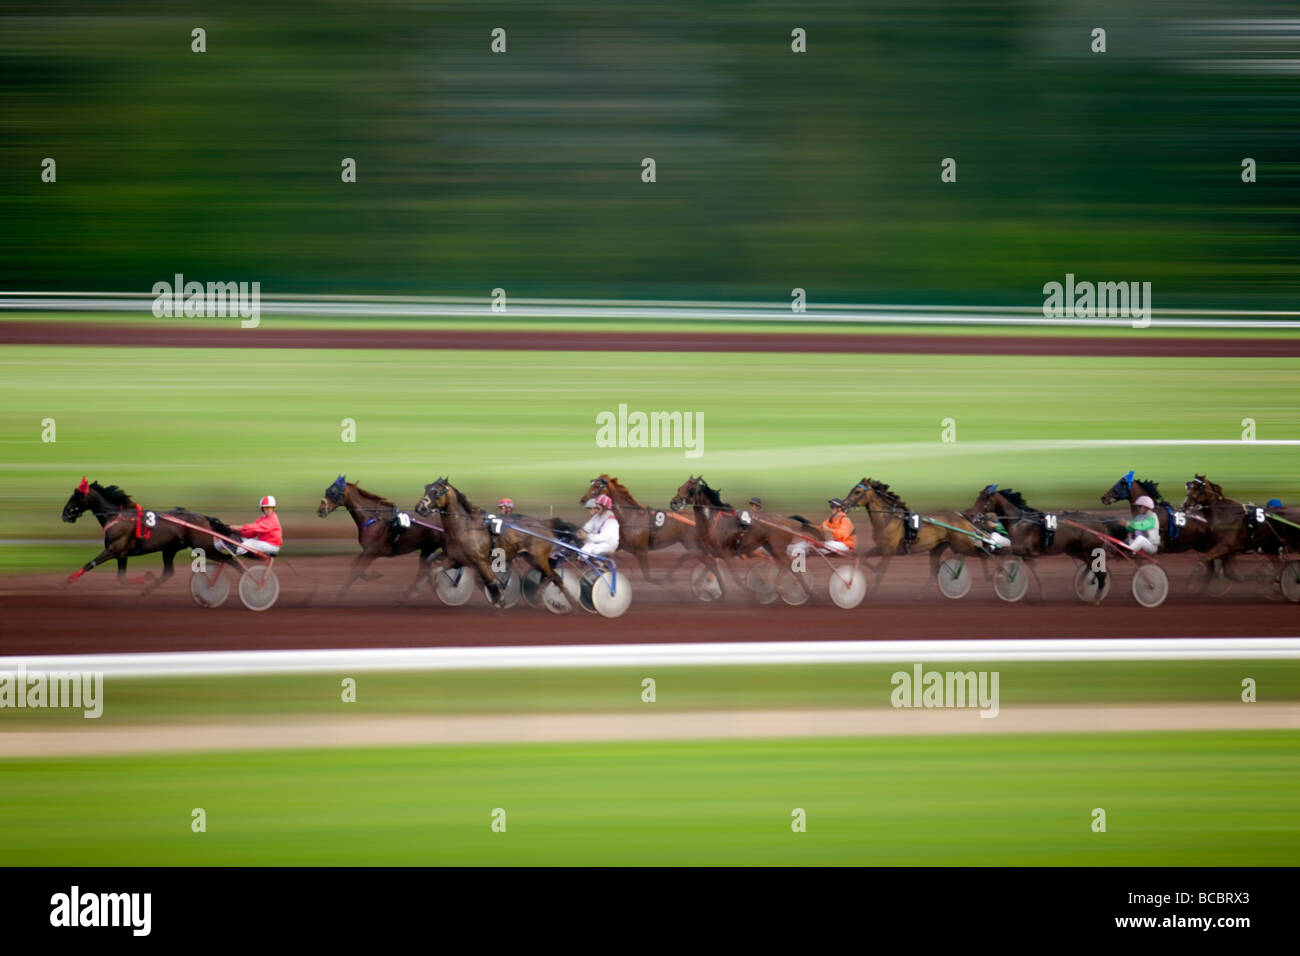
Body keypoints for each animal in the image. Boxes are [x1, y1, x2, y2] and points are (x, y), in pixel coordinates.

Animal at [61, 476, 240, 590]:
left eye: (76, 497)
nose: (65, 514)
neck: (117, 517)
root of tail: (204, 518)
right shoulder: (122, 554)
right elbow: (122, 578)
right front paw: (147, 577)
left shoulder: (113, 550)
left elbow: (90, 564)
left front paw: (66, 581)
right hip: (169, 549)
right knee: (168, 572)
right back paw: (146, 591)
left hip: (205, 547)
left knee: (230, 560)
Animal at [315, 476, 447, 600]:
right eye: (327, 490)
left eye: (333, 493)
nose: (320, 510)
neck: (374, 519)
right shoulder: (367, 550)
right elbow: (353, 565)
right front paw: (372, 575)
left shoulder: (372, 551)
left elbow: (355, 571)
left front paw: (339, 594)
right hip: (427, 548)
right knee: (424, 569)